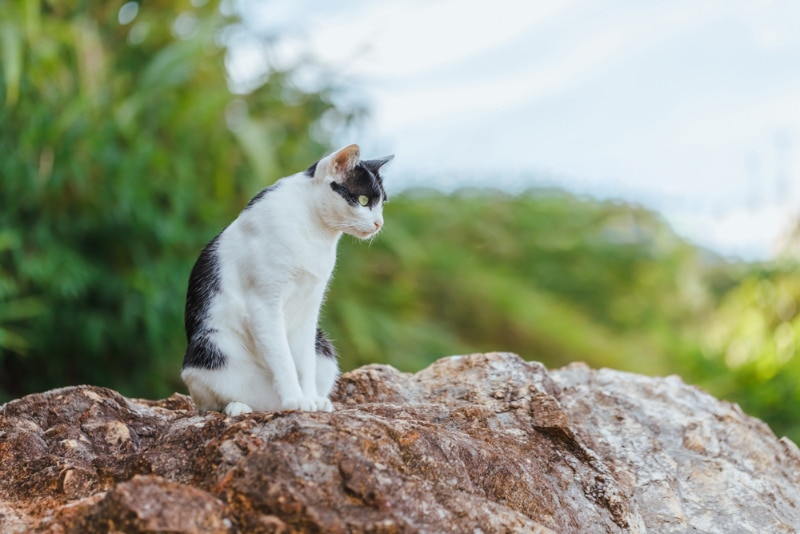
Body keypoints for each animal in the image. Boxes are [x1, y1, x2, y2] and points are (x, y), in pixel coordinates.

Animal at [181, 144, 394, 416]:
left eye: (382, 204)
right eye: (364, 200)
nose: (379, 223)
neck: (316, 231)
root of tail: (270, 404)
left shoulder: (310, 306)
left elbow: (303, 362)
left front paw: (310, 398)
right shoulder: (264, 304)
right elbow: (283, 359)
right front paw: (296, 399)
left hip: (322, 346)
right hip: (211, 346)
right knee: (212, 403)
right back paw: (239, 407)